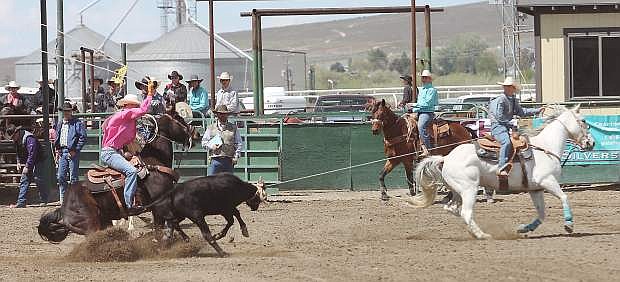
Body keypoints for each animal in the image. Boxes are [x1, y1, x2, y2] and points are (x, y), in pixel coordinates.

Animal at [38, 113, 199, 242]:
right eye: (179, 118)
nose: (196, 133)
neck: (153, 162)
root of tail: (63, 208)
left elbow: (169, 223)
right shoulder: (160, 204)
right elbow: (171, 222)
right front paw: (183, 240)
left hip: (104, 221)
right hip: (91, 224)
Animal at [410, 104, 592, 239]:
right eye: (583, 121)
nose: (591, 143)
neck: (546, 147)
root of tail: (446, 158)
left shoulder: (536, 189)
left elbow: (541, 214)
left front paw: (524, 228)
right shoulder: (547, 181)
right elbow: (564, 197)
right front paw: (569, 224)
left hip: (457, 191)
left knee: (452, 209)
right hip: (469, 189)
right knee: (466, 212)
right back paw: (482, 235)